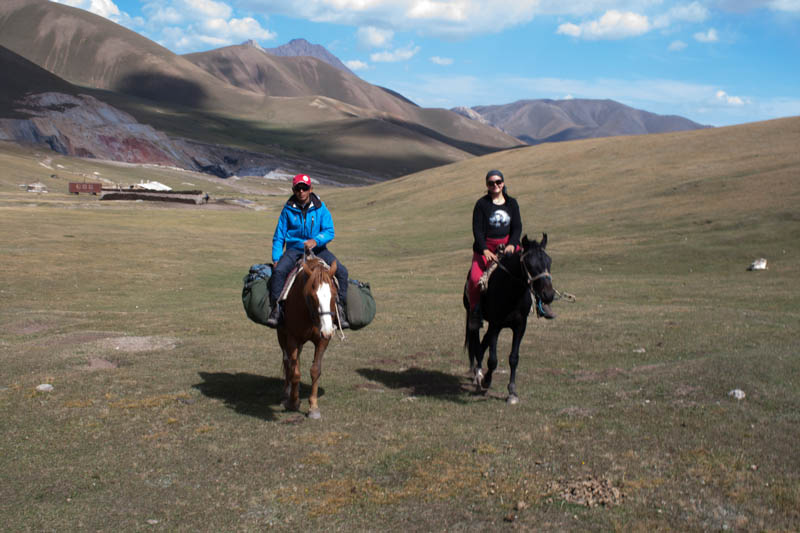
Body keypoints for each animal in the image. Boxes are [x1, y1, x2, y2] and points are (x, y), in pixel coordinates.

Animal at [276, 256, 340, 418]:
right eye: (312, 296)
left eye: (334, 294)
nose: (328, 330)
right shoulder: (292, 338)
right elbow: (295, 371)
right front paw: (293, 402)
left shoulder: (322, 340)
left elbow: (315, 370)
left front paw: (313, 407)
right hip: (282, 336)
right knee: (287, 361)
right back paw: (287, 393)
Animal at [462, 233, 556, 404]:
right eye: (529, 264)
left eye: (549, 261)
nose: (548, 295)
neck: (511, 292)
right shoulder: (495, 325)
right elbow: (493, 360)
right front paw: (486, 381)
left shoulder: (520, 326)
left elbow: (514, 358)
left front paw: (512, 392)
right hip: (476, 321)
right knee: (477, 344)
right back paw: (478, 376)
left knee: (482, 345)